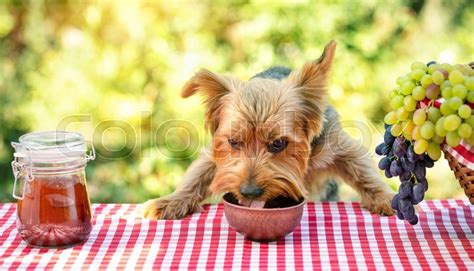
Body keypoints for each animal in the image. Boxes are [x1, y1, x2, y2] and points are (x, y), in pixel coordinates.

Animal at [143, 41, 394, 221]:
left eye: (278, 143)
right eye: (234, 142)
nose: (249, 192)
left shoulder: (336, 144)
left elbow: (362, 171)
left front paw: (386, 198)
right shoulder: (218, 155)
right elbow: (198, 174)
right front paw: (170, 201)